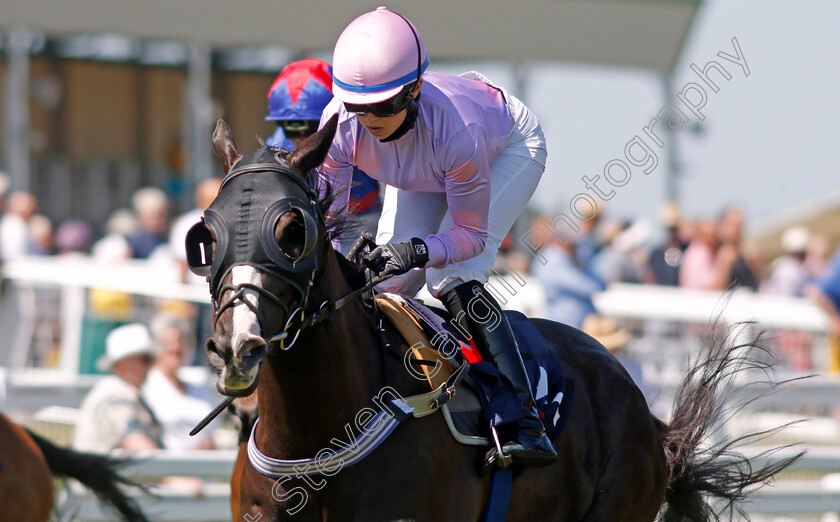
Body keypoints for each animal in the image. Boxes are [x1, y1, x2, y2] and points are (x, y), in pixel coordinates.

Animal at [195, 116, 796, 516]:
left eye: (292, 230)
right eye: (206, 234)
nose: (236, 347)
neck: (316, 437)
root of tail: (648, 415)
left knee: (459, 278)